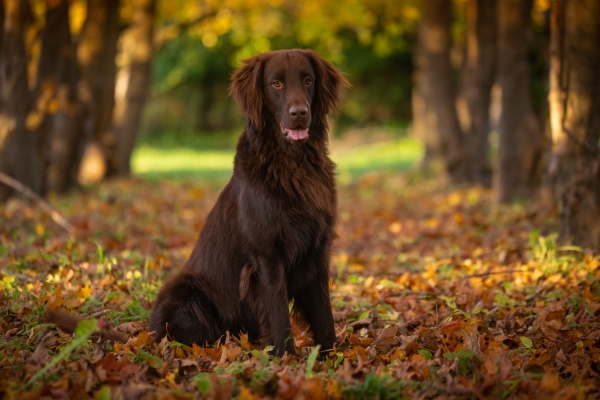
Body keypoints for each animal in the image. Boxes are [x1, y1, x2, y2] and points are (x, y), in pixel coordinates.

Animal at [148, 49, 350, 356]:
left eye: (307, 80)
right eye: (276, 83)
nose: (299, 114)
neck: (293, 163)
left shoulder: (317, 249)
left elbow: (323, 314)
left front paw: (328, 356)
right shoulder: (267, 256)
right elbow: (278, 316)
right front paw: (286, 359)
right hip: (188, 292)